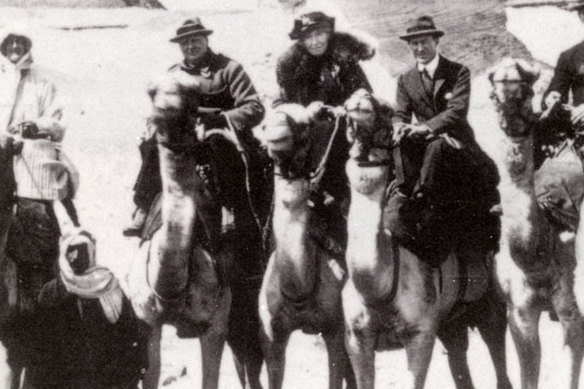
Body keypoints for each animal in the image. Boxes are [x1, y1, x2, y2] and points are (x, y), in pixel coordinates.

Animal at [129, 73, 266, 388]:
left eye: (191, 100)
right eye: (153, 94)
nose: (169, 113)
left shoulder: (214, 325)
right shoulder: (147, 320)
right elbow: (150, 373)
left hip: (248, 290)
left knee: (251, 354)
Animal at [342, 89, 512, 388]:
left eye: (386, 109)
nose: (359, 98)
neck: (378, 289)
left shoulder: (419, 335)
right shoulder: (355, 338)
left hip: (491, 302)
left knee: (497, 346)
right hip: (451, 320)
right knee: (458, 356)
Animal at [488, 58, 584, 388]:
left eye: (527, 93)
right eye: (494, 96)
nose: (510, 115)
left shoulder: (571, 309)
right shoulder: (519, 314)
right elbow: (528, 376)